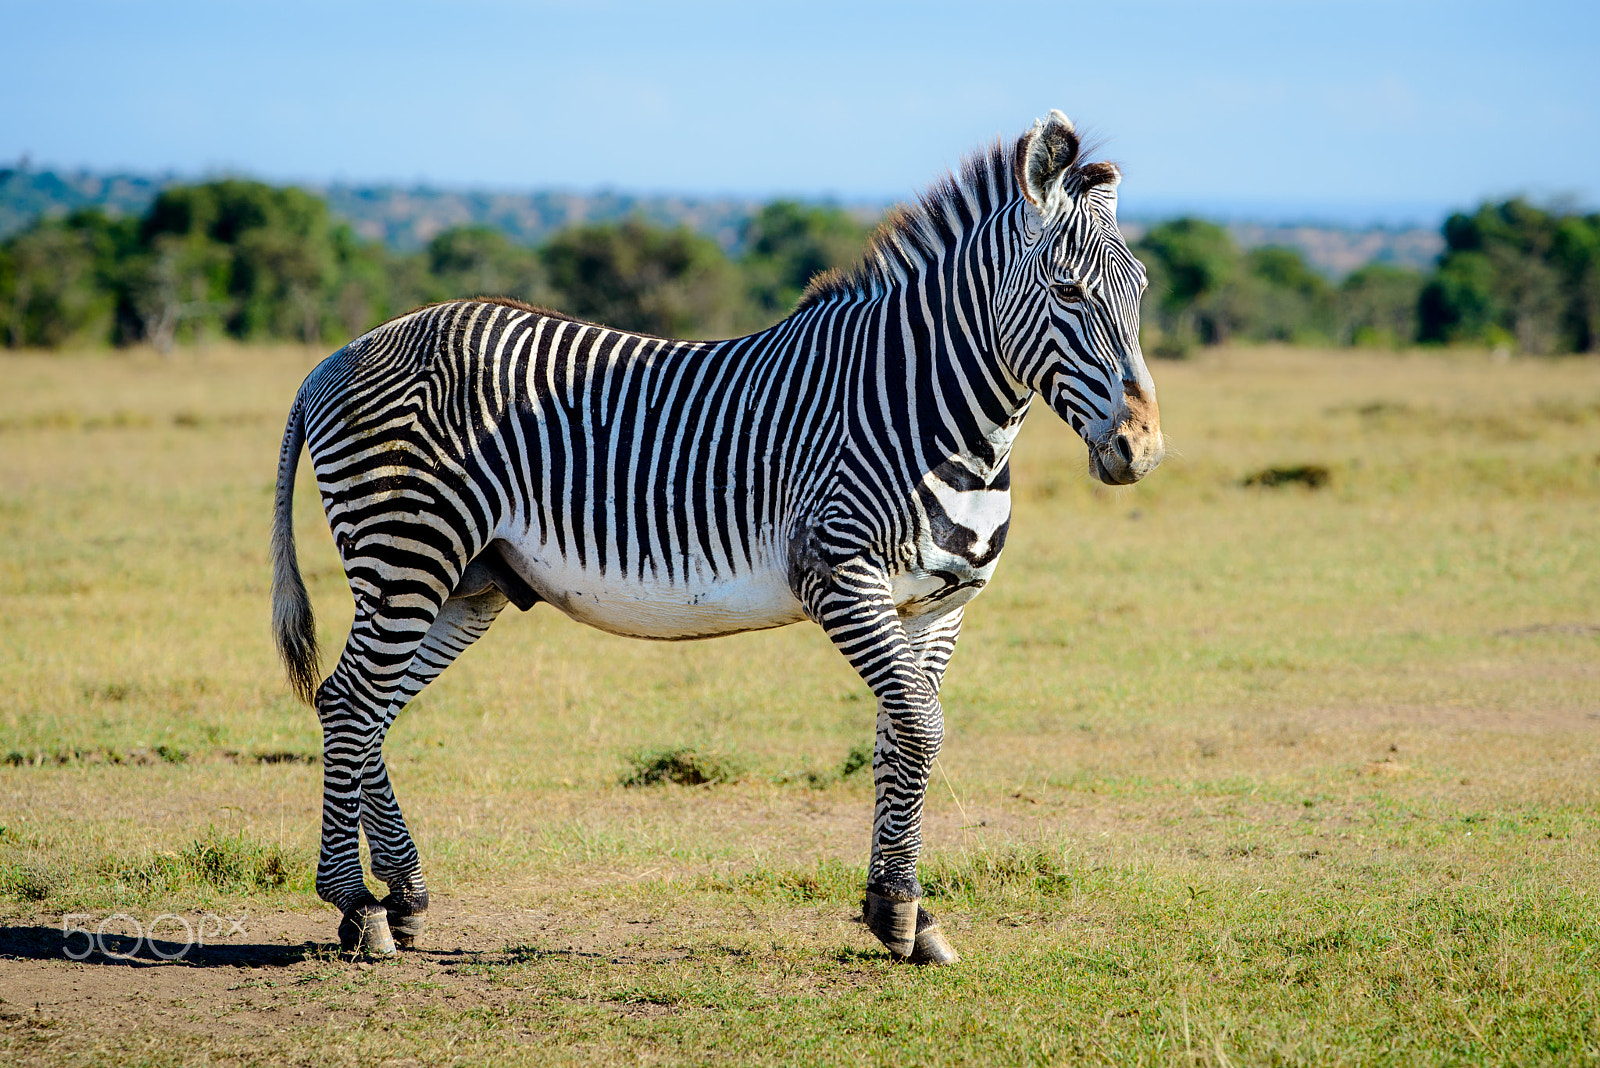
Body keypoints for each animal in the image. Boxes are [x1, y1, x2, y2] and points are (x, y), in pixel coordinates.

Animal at [272, 110, 1164, 964]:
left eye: (1142, 292)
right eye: (1068, 291)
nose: (1141, 449)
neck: (931, 415)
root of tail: (338, 356)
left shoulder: (940, 605)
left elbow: (899, 737)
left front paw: (898, 911)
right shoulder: (839, 575)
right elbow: (919, 727)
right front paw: (899, 912)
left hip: (469, 582)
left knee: (367, 706)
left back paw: (405, 894)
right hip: (407, 551)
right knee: (351, 701)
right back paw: (356, 907)